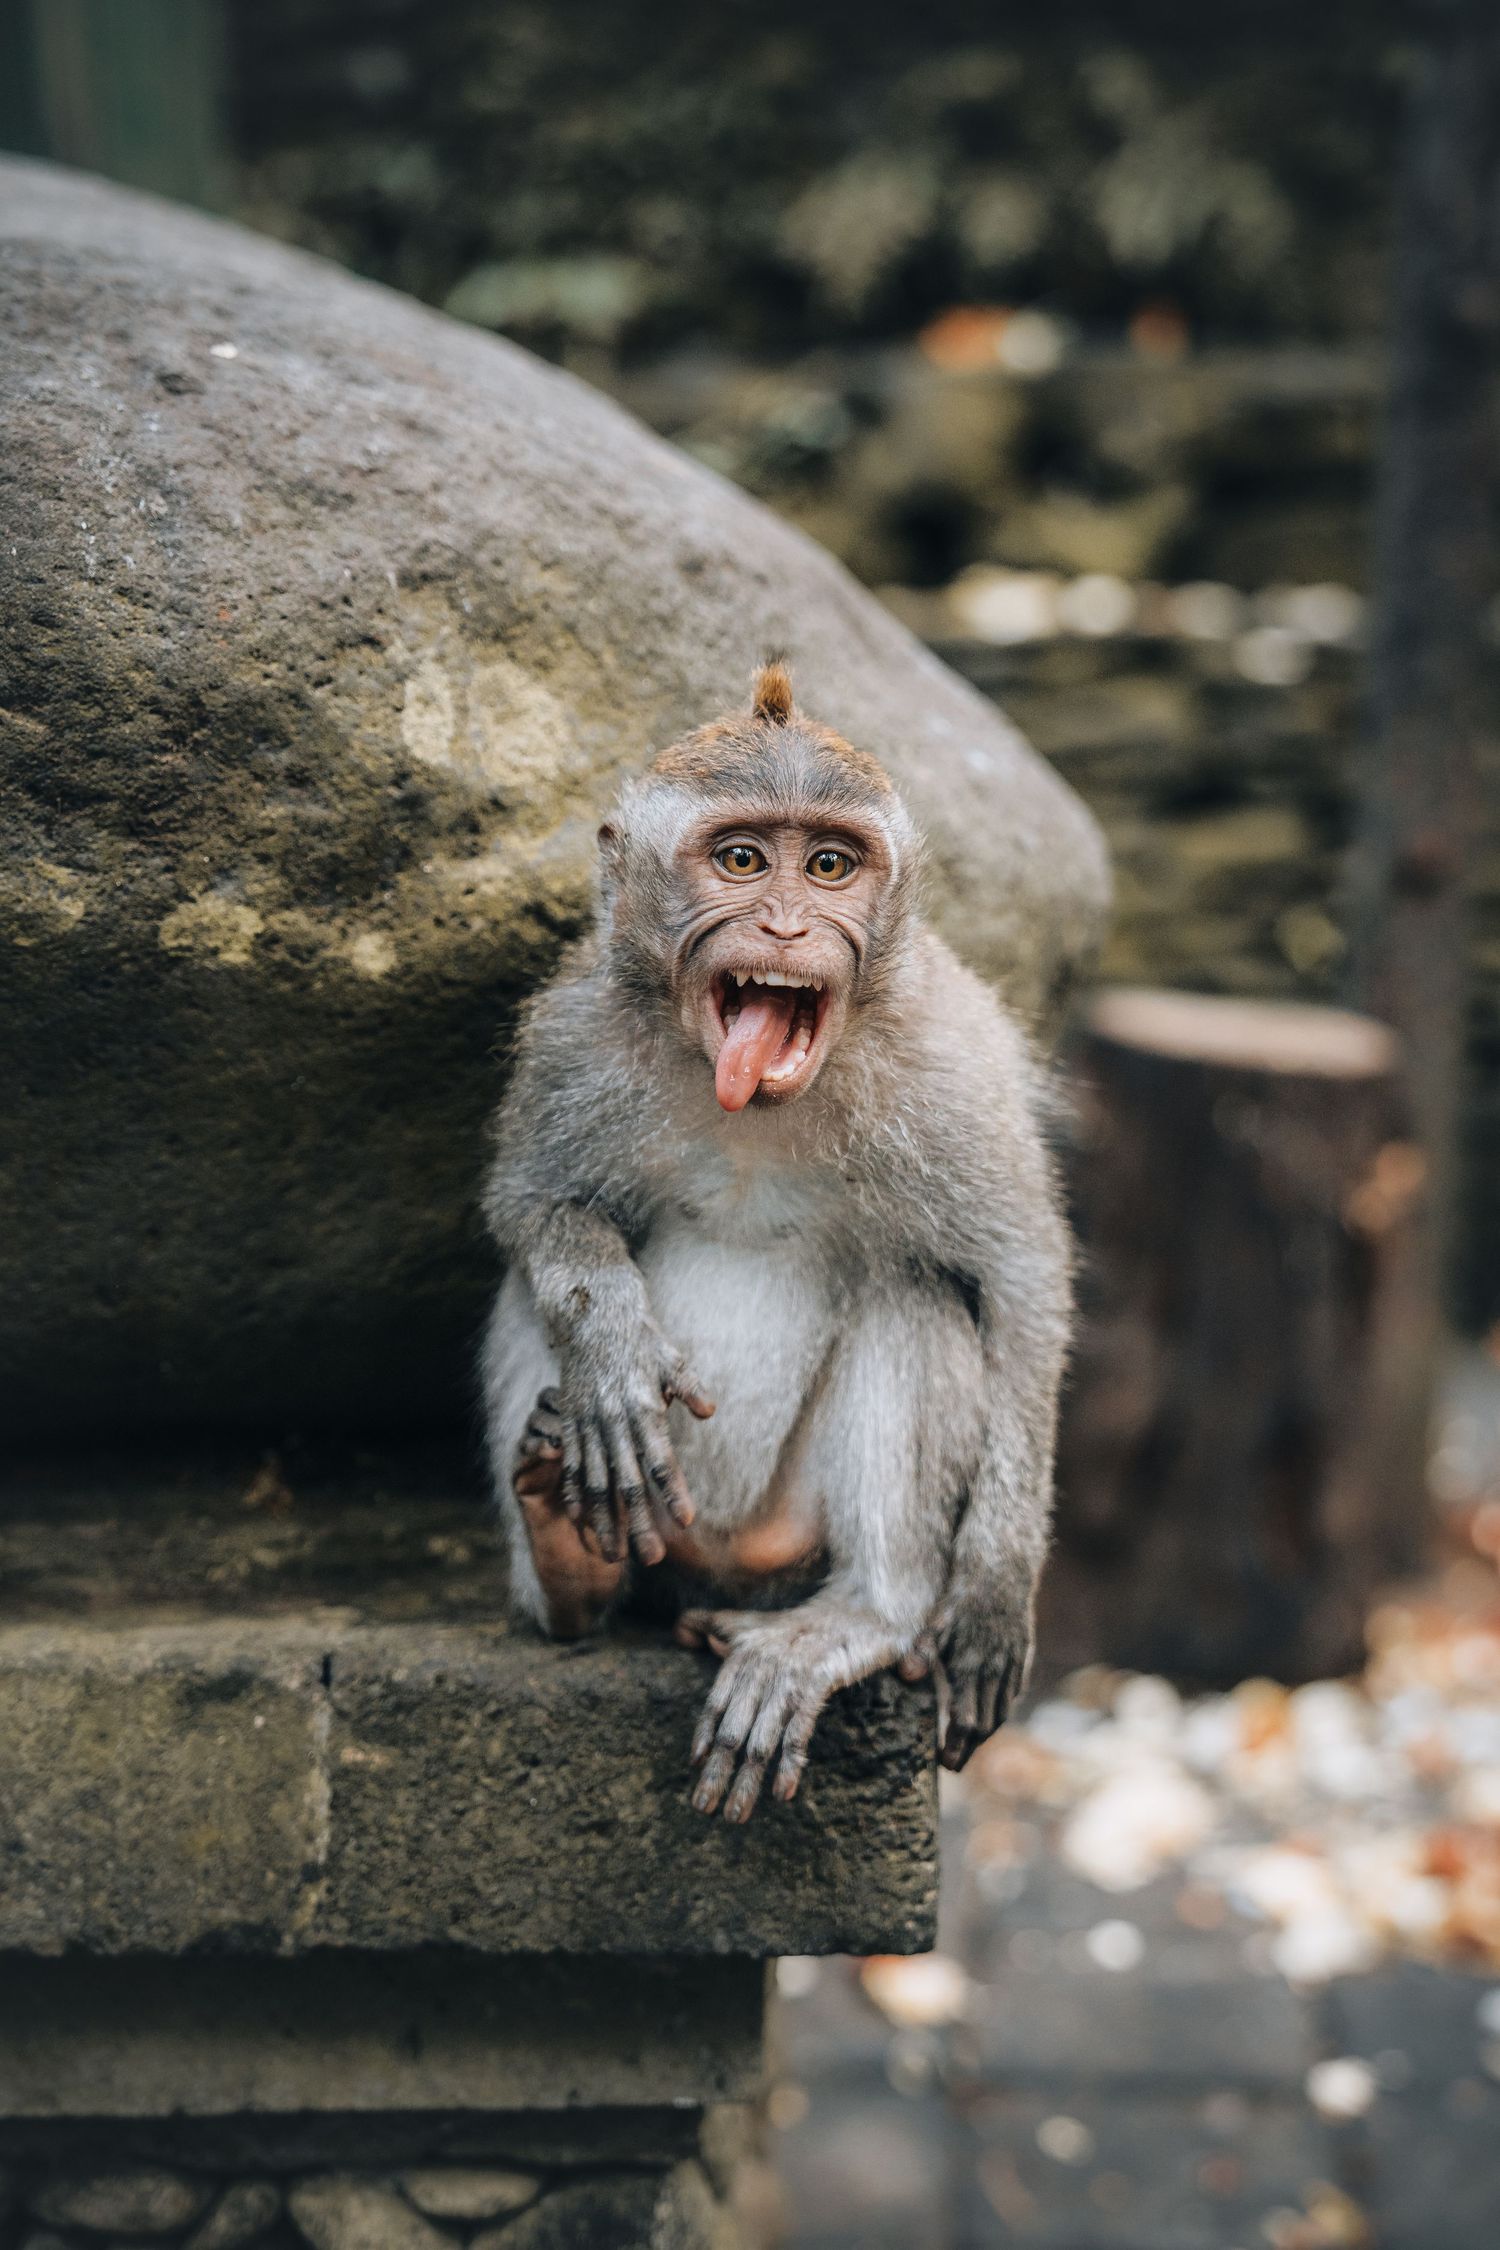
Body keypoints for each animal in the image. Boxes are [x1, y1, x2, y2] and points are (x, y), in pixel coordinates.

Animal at [480, 661, 1071, 1823]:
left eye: (831, 866)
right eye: (743, 860)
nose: (792, 929)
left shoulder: (951, 1061)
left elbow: (1022, 1276)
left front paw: (993, 1584)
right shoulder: (576, 1036)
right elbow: (535, 1206)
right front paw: (612, 1355)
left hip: (788, 1542)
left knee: (914, 1290)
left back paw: (862, 1619)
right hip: (667, 1538)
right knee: (528, 1299)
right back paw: (567, 1561)